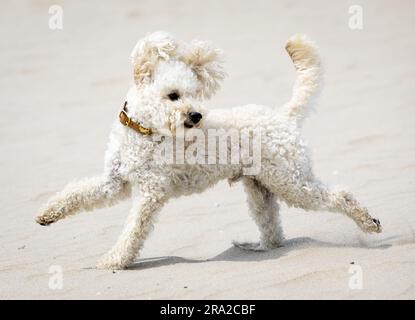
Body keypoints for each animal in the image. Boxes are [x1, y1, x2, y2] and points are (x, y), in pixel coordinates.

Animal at [36, 31, 384, 270]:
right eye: (173, 95)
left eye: (194, 94)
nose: (196, 116)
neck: (145, 132)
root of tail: (282, 116)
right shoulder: (115, 181)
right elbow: (78, 193)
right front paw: (48, 214)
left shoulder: (150, 192)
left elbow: (133, 231)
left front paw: (114, 260)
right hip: (260, 189)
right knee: (274, 231)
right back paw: (256, 247)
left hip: (292, 182)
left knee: (340, 196)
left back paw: (368, 223)